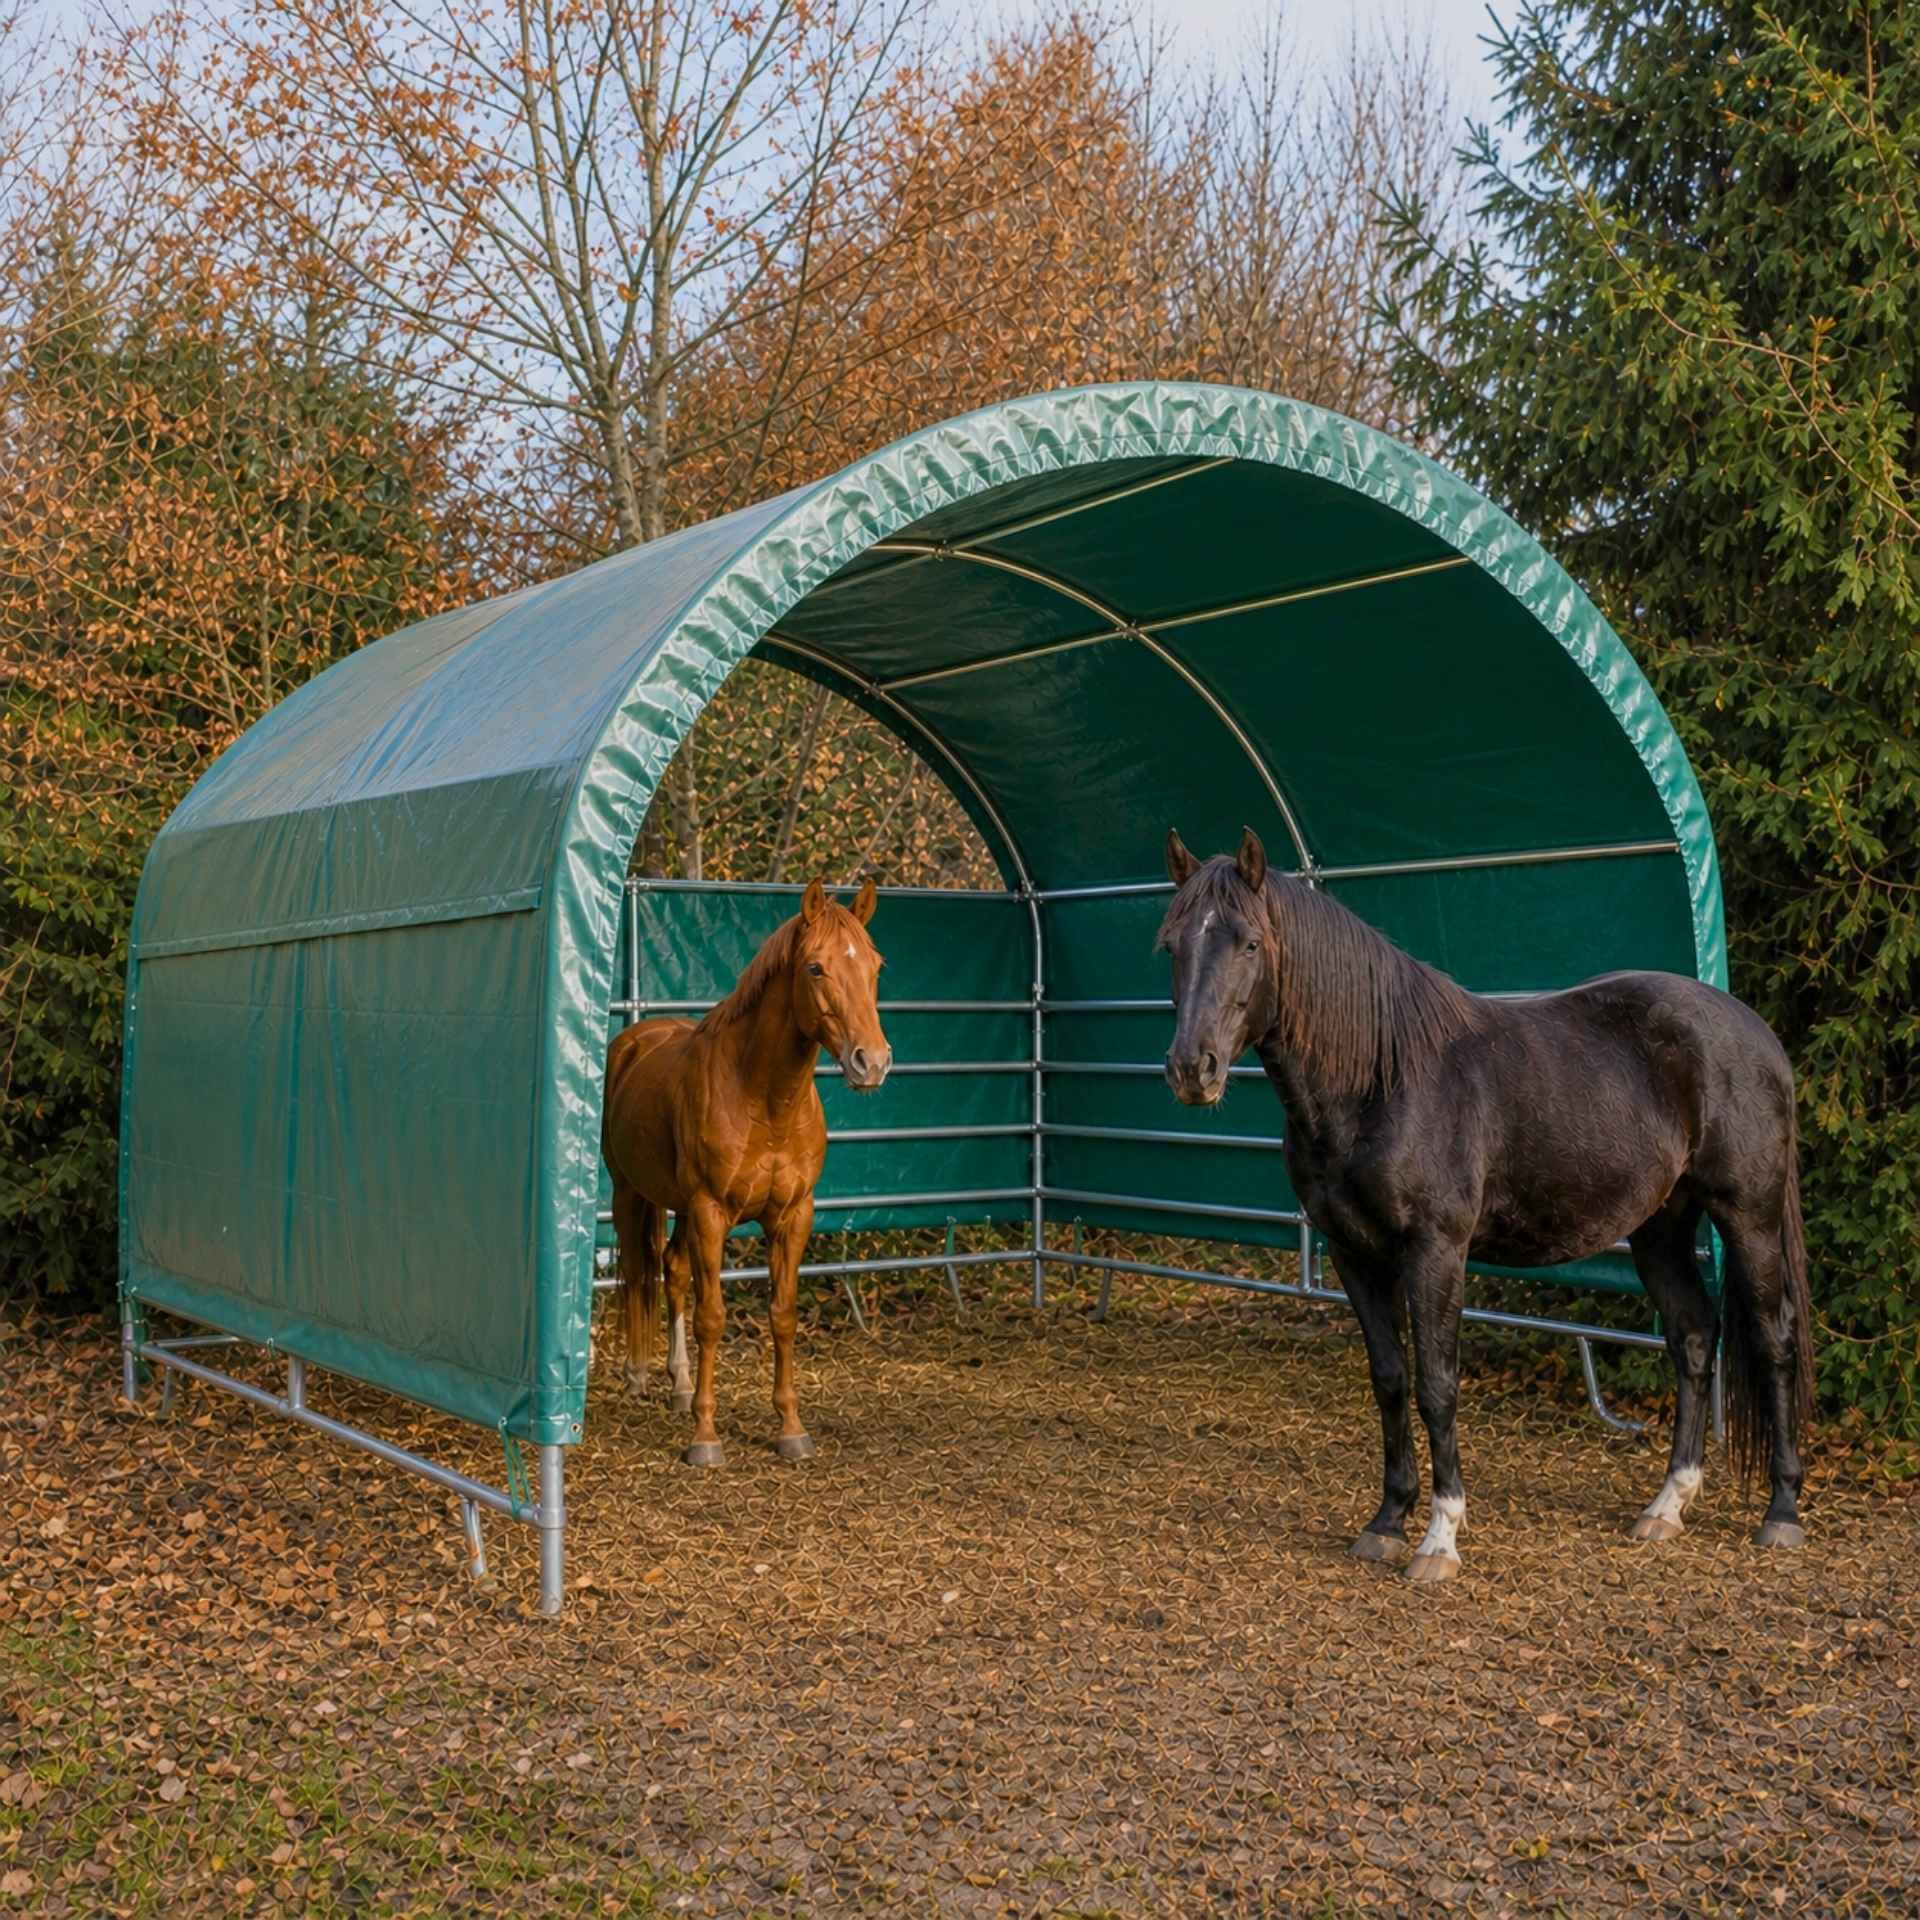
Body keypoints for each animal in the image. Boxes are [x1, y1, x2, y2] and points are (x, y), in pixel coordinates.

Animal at [603, 878, 891, 1466]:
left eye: (876, 965)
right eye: (815, 968)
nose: (871, 1062)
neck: (766, 1101)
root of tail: (635, 1039)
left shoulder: (792, 1217)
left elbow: (782, 1315)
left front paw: (791, 1429)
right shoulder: (712, 1213)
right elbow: (712, 1317)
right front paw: (705, 1438)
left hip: (680, 1208)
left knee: (672, 1271)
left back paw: (680, 1385)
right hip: (631, 1194)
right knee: (640, 1271)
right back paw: (640, 1374)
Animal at [1157, 826, 1813, 1584]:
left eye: (1249, 943)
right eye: (1172, 944)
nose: (1191, 1068)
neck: (1381, 1080)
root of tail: (1756, 1034)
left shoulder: (1436, 1252)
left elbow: (1438, 1384)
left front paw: (1440, 1538)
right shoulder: (1354, 1254)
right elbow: (1390, 1379)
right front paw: (1387, 1521)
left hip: (1748, 1215)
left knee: (1774, 1336)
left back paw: (1782, 1512)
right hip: (1660, 1229)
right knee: (1695, 1336)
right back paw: (1666, 1506)